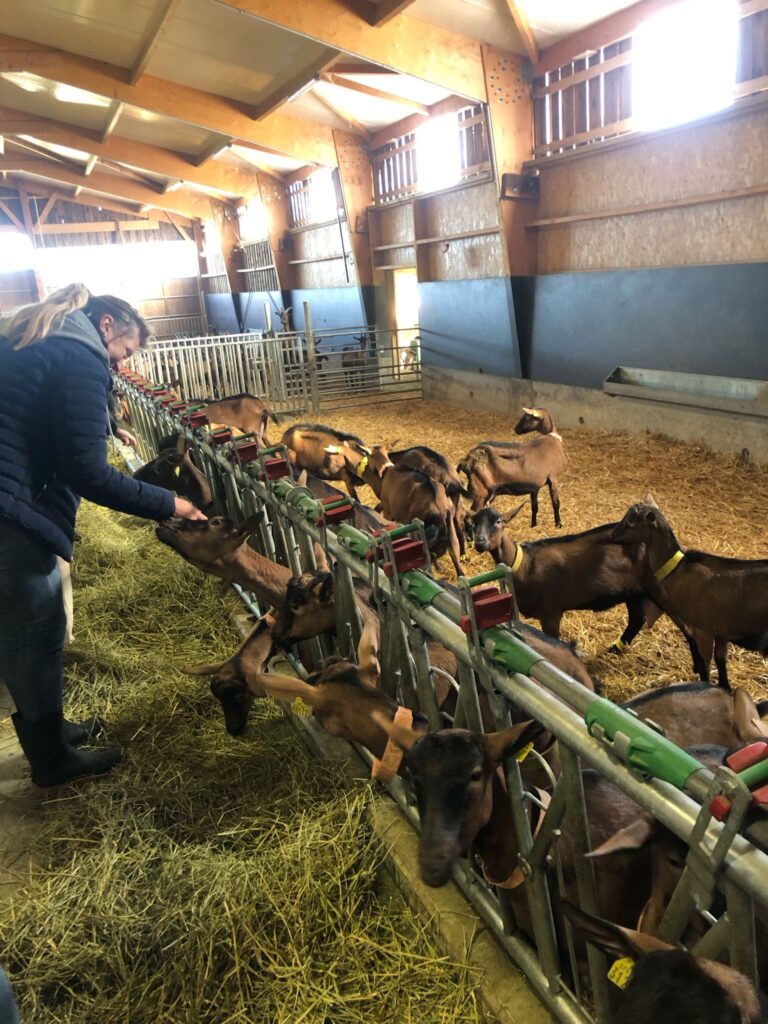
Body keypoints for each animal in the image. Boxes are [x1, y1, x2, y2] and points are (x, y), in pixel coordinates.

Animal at [618, 501, 768, 688]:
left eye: (631, 521)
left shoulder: (702, 630)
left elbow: (705, 666)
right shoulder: (720, 631)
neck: (678, 568)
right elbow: (721, 661)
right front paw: (725, 688)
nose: (612, 535)